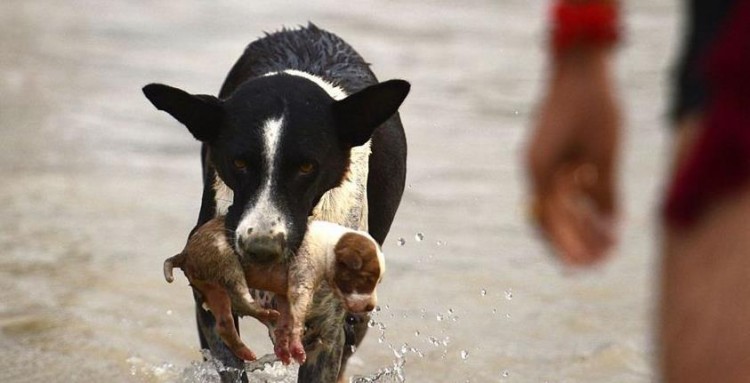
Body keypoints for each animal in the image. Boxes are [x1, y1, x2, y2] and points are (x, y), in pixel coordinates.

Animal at [165, 219, 388, 366]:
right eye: (367, 279)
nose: (371, 306)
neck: (329, 247)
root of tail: (185, 253)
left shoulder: (285, 294)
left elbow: (288, 319)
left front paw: (284, 346)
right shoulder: (301, 282)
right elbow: (297, 317)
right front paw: (296, 347)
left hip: (213, 289)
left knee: (224, 324)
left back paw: (246, 351)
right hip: (226, 260)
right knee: (240, 295)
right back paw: (264, 314)